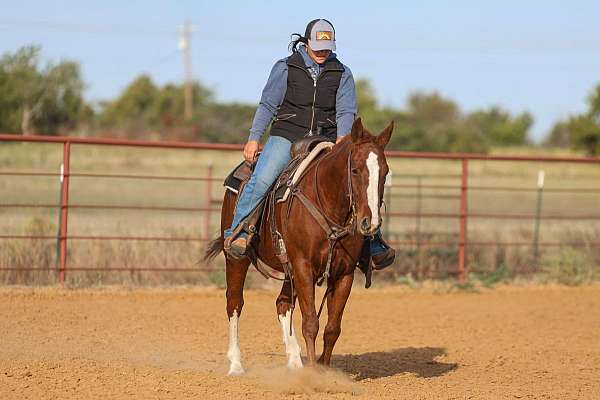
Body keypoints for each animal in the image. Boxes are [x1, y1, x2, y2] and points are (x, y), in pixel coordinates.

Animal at [204, 119, 396, 376]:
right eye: (355, 170)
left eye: (384, 172)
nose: (370, 223)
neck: (326, 202)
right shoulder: (304, 267)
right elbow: (311, 323)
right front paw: (313, 374)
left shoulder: (344, 274)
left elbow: (332, 328)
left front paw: (325, 372)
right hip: (237, 258)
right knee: (234, 303)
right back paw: (236, 365)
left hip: (289, 268)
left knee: (282, 304)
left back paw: (295, 362)